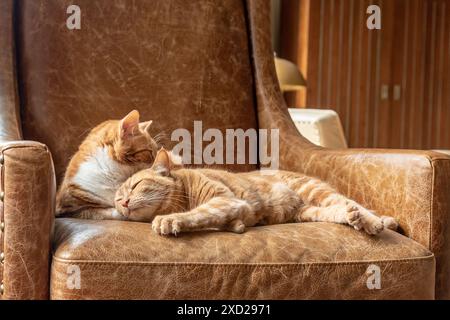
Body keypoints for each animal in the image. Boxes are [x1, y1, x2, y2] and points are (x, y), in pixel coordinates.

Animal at [115, 149, 398, 236]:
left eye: (136, 186)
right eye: (118, 200)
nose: (125, 202)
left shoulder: (224, 199)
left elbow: (196, 214)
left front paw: (169, 220)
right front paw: (236, 226)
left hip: (315, 191)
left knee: (353, 203)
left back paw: (376, 222)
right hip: (310, 212)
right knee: (341, 209)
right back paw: (354, 217)